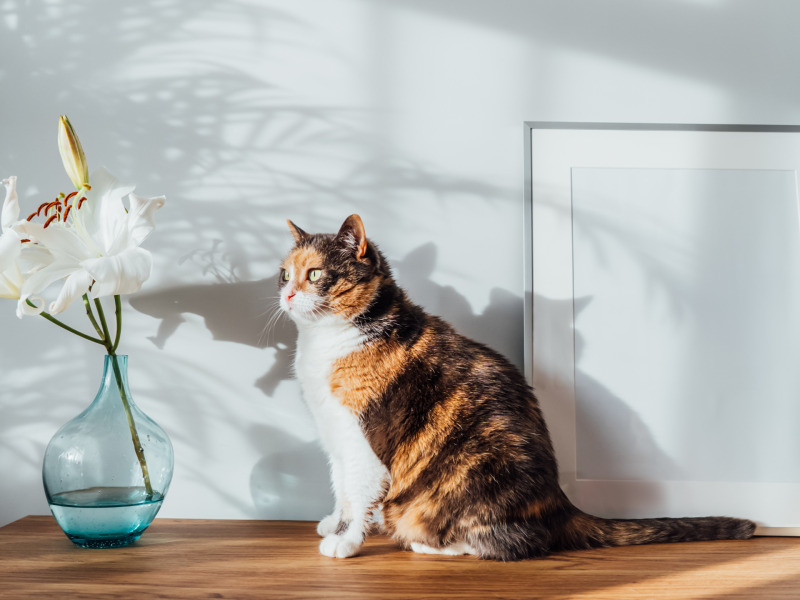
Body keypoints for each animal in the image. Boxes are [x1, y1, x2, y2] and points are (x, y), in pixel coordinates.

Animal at [280, 213, 756, 560]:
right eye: (284, 274)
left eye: (316, 275)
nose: (285, 295)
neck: (330, 343)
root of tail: (562, 503)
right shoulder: (334, 433)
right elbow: (340, 486)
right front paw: (332, 521)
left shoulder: (363, 440)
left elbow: (358, 493)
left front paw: (345, 541)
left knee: (520, 543)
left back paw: (427, 543)